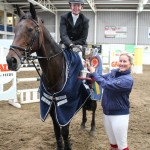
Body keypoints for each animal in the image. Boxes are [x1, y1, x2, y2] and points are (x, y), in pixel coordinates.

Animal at [5, 2, 97, 149]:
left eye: (30, 29)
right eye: (15, 29)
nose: (10, 60)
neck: (56, 72)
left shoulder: (65, 105)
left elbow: (64, 130)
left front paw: (68, 145)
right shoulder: (52, 104)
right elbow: (56, 129)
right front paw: (60, 145)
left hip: (93, 92)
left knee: (93, 108)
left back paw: (92, 128)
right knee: (83, 107)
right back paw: (83, 124)